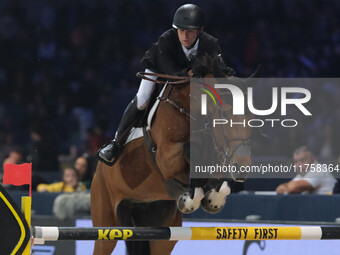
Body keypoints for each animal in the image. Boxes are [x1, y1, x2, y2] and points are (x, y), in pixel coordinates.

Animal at [90, 54, 252, 254]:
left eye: (252, 117)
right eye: (224, 114)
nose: (243, 167)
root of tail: (98, 172)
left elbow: (220, 178)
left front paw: (213, 199)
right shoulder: (166, 158)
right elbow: (190, 150)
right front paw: (191, 199)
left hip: (161, 233)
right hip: (106, 225)